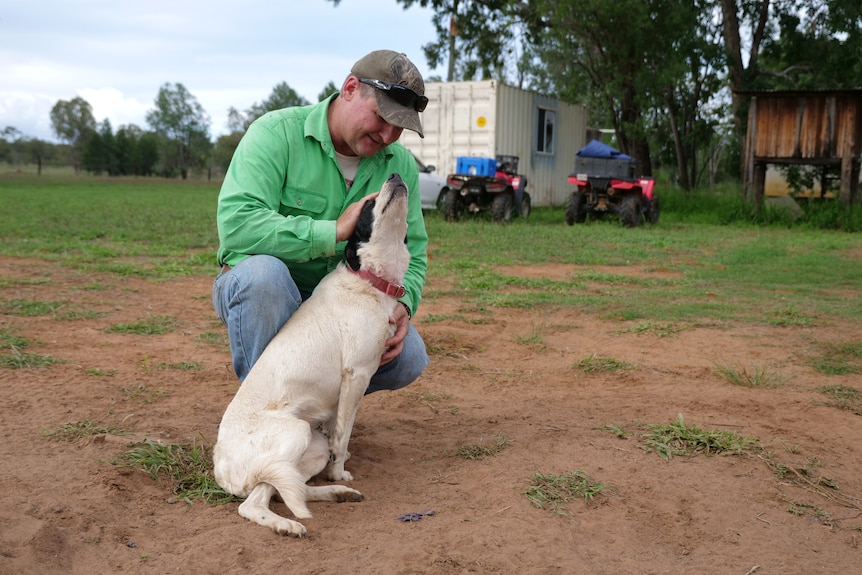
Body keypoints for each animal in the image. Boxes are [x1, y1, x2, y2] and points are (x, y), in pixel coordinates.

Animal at [211, 173, 410, 536]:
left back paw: (336, 494)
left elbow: (335, 433)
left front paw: (337, 474)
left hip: (308, 449)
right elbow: (342, 438)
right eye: (369, 202)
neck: (368, 280)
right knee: (255, 502)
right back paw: (289, 524)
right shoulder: (357, 374)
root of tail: (221, 466)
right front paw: (340, 470)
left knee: (286, 488)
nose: (396, 175)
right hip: (296, 435)